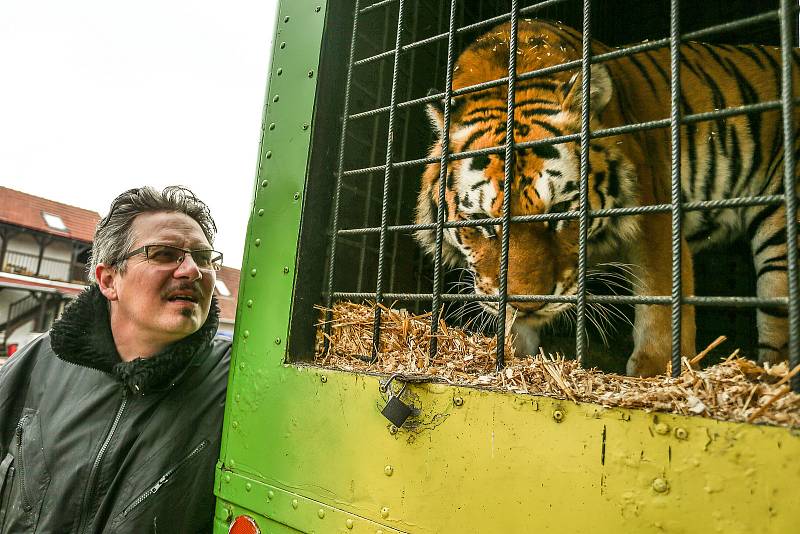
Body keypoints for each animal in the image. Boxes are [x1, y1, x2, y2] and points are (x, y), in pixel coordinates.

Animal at [416, 19, 796, 376]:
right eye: (483, 222)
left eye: (560, 212)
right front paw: (509, 354)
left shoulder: (654, 212)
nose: (527, 304)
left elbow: (659, 293)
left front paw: (656, 371)